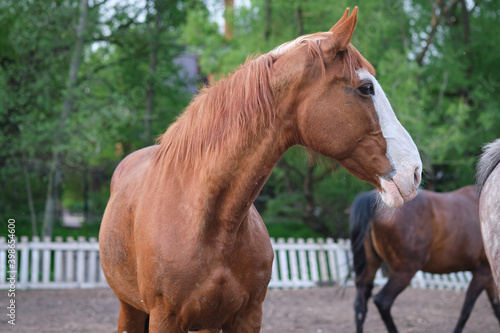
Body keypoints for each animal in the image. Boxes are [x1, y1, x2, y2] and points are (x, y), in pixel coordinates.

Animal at [98, 7, 422, 332]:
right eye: (366, 88)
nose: (415, 171)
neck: (208, 224)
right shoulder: (164, 318)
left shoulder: (248, 316)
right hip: (130, 309)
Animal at [350, 185, 500, 330]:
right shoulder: (483, 272)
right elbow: (466, 310)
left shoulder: (486, 275)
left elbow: (495, 307)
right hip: (404, 272)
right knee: (382, 302)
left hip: (371, 268)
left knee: (360, 305)